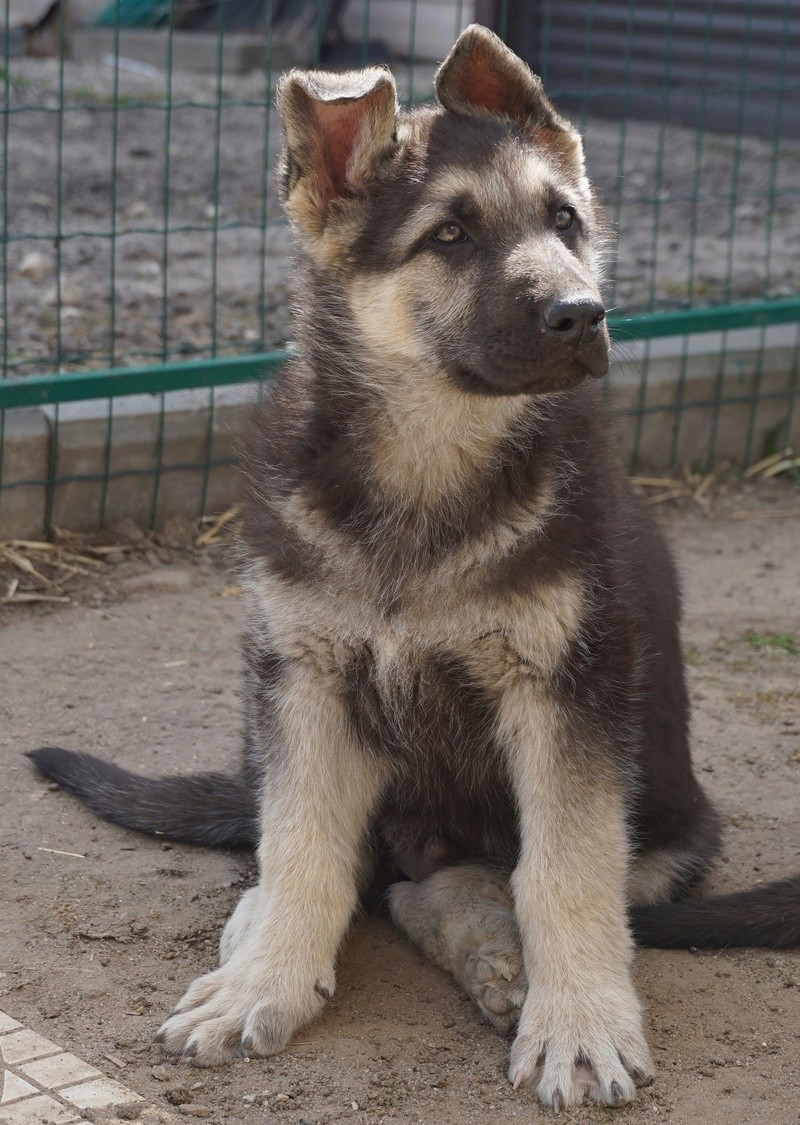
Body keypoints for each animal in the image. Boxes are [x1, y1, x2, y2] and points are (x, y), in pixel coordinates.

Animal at [28, 28, 796, 1116]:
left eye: (566, 221)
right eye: (450, 236)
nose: (584, 312)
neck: (430, 459)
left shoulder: (568, 691)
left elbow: (563, 872)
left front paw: (578, 1023)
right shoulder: (303, 674)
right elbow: (302, 841)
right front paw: (266, 978)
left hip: (670, 829)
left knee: (463, 881)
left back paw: (496, 956)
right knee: (339, 861)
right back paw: (263, 935)